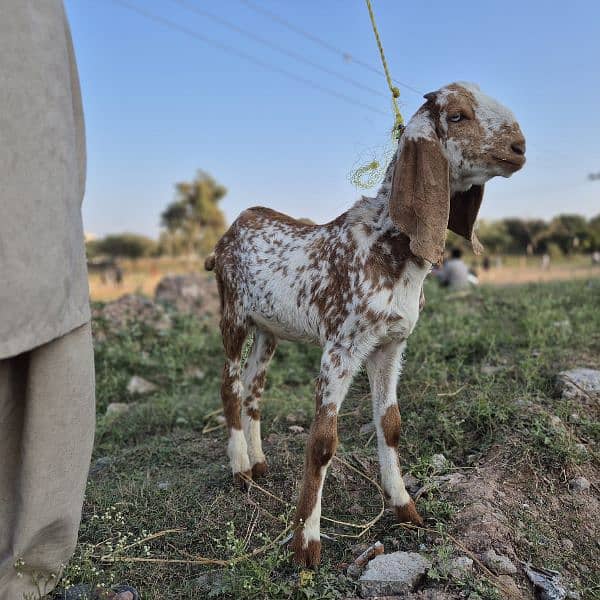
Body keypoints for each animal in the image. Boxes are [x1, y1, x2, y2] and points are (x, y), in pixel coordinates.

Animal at [206, 82, 524, 564]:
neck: (387, 242)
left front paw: (405, 508)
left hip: (269, 330)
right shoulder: (341, 346)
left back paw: (259, 462)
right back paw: (241, 467)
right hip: (234, 314)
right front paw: (306, 544)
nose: (519, 147)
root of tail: (230, 231)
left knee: (255, 387)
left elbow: (390, 423)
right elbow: (322, 440)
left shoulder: (390, 344)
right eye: (457, 116)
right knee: (231, 384)